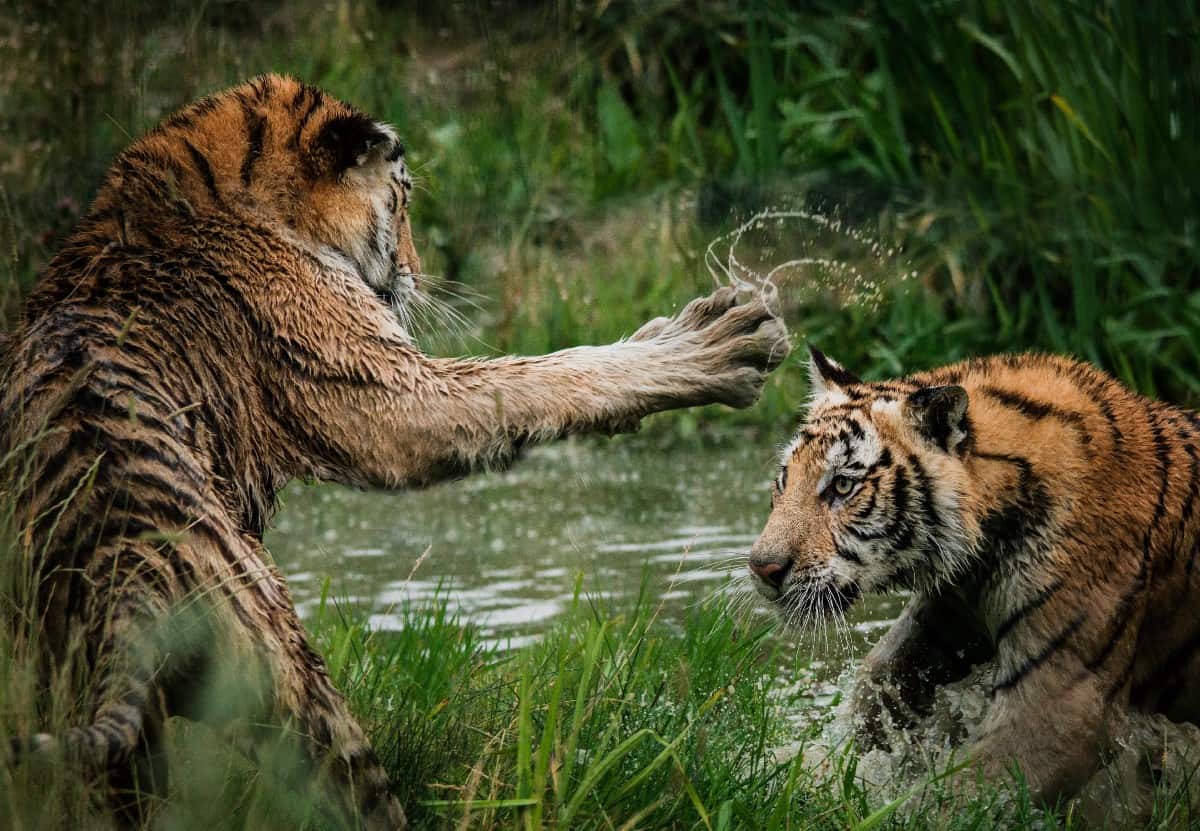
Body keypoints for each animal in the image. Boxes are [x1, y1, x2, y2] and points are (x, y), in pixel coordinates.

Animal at [0, 73, 790, 828]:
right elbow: (543, 375)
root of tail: (123, 566)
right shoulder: (389, 392)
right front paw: (718, 343)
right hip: (292, 680)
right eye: (403, 202)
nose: (414, 273)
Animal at [747, 346, 1200, 805]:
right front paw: (801, 771)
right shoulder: (948, 615)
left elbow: (959, 796)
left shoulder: (1062, 703)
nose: (761, 567)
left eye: (842, 486)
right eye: (784, 480)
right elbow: (876, 683)